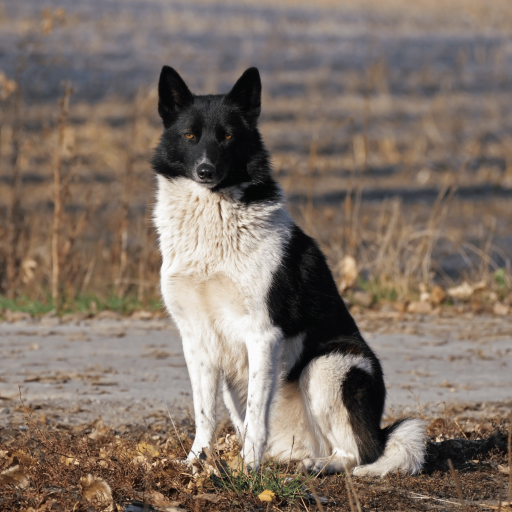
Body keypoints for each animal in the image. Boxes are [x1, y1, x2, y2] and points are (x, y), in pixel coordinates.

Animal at [152, 65, 424, 476]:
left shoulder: (262, 335)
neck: (214, 218)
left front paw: (246, 469)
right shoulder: (196, 338)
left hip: (328, 367)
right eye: (189, 136)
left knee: (358, 454)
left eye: (228, 136)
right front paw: (198, 462)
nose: (206, 170)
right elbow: (204, 413)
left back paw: (315, 465)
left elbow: (255, 416)